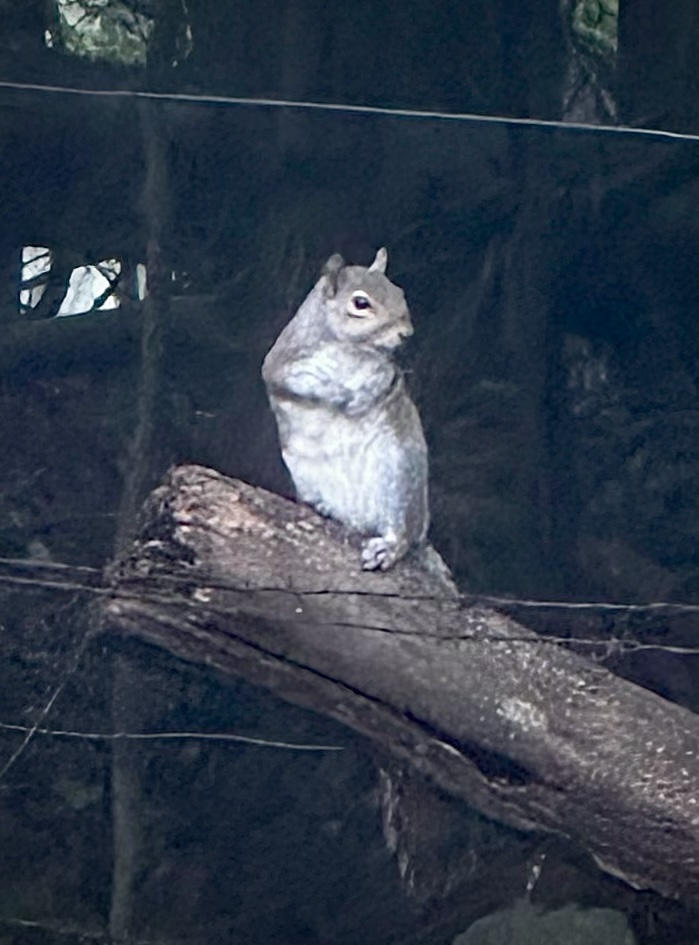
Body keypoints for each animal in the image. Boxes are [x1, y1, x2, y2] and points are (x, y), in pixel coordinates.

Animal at [262, 248, 429, 570]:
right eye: (360, 303)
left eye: (399, 291)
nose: (407, 333)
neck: (350, 349)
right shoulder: (281, 364)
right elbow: (294, 384)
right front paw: (340, 395)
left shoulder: (385, 371)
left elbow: (384, 381)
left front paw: (363, 395)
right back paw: (321, 506)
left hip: (399, 477)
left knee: (400, 532)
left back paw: (388, 546)